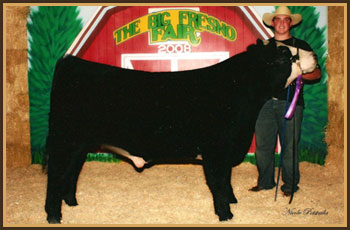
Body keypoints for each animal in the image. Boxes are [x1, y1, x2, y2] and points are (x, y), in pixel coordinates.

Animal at [45, 39, 294, 223]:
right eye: (283, 56)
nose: (296, 56)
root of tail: (71, 62)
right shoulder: (216, 151)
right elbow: (219, 182)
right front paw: (226, 214)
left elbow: (226, 180)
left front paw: (232, 201)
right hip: (64, 141)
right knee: (56, 175)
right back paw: (53, 215)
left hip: (78, 145)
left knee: (71, 172)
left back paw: (71, 203)